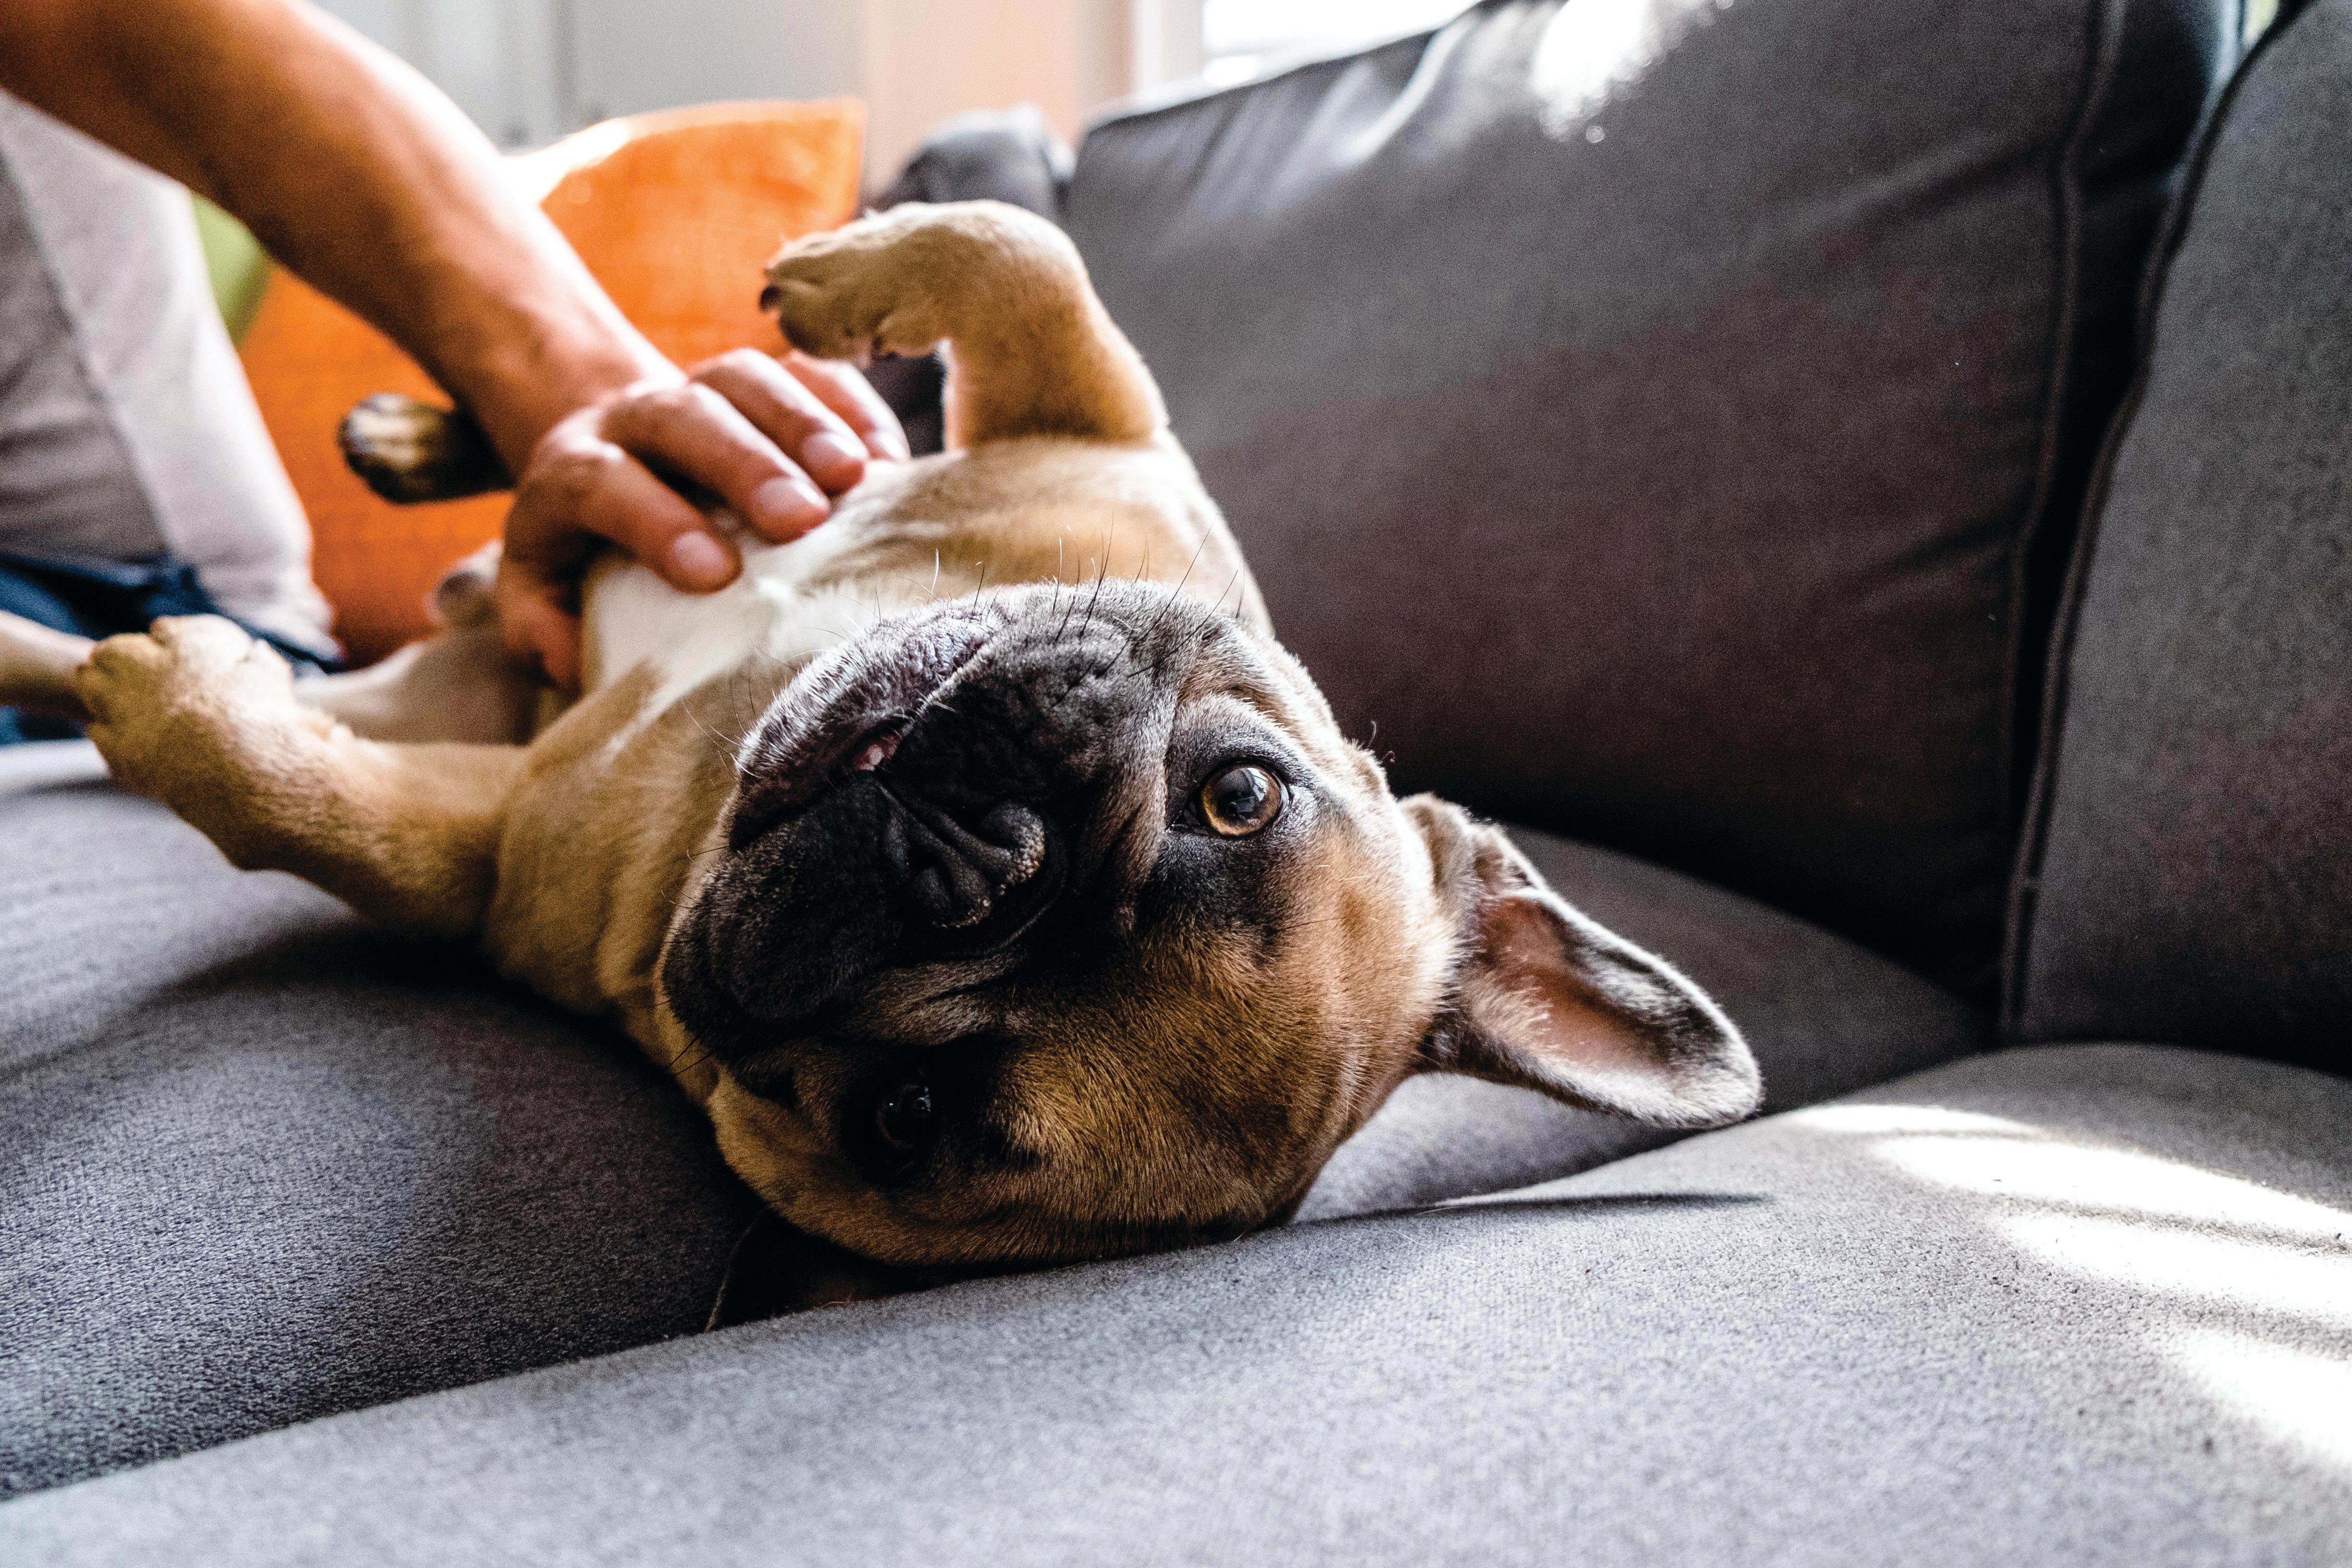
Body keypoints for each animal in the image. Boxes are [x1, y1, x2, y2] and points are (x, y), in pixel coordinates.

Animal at [0, 199, 1759, 1279]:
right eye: (1242, 798)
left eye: (907, 1119)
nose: (989, 863)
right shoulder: (1103, 432)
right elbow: (1032, 258)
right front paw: (849, 279)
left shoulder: (489, 857)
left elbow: (304, 800)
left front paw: (179, 701)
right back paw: (427, 443)